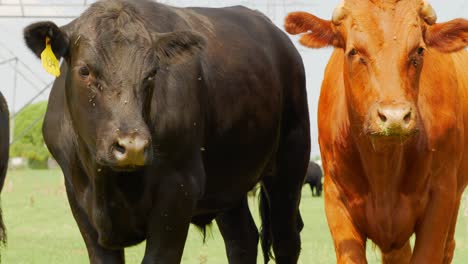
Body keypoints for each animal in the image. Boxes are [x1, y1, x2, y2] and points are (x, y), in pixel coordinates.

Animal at [286, 0, 468, 262]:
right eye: (353, 52)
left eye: (419, 50)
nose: (394, 117)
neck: (384, 167)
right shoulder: (335, 200)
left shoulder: (441, 196)